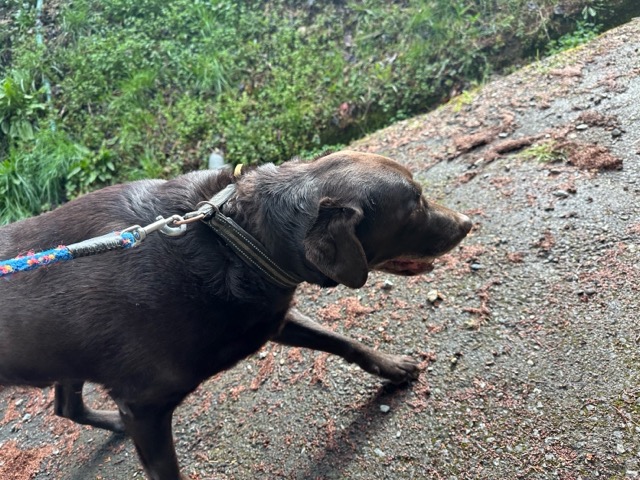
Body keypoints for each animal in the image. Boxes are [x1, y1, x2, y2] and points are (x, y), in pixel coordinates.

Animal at [0, 151, 471, 480]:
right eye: (415, 204)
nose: (467, 222)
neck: (238, 237)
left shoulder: (270, 319)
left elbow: (343, 341)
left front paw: (393, 367)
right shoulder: (144, 406)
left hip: (64, 357)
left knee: (66, 407)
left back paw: (112, 425)